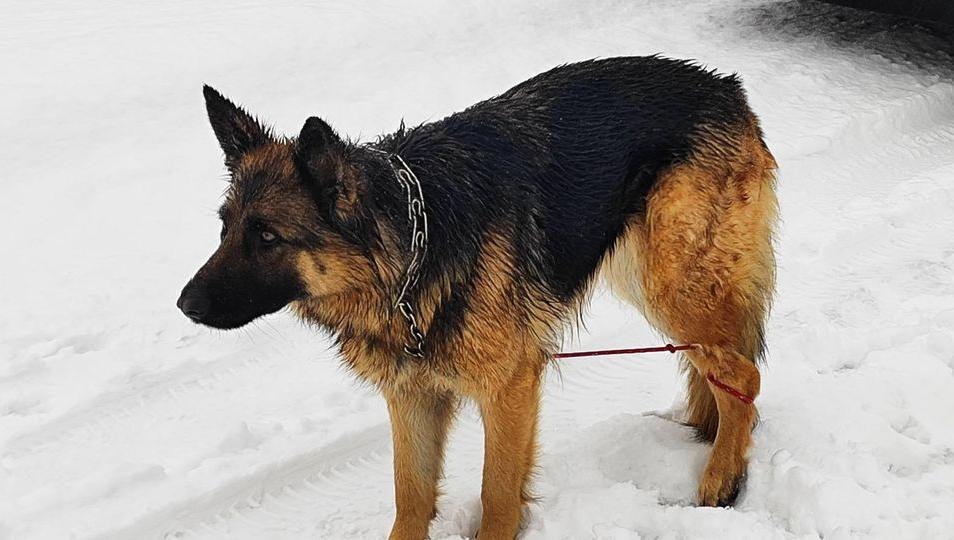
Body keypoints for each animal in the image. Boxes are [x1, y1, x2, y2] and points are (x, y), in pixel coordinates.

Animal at [178, 56, 777, 539]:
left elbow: (497, 494)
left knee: (743, 375)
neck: (412, 255)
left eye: (267, 237)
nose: (185, 305)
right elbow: (411, 496)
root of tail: (726, 86)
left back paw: (720, 479)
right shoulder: (412, 399)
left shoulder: (510, 389)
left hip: (673, 286)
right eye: (225, 228)